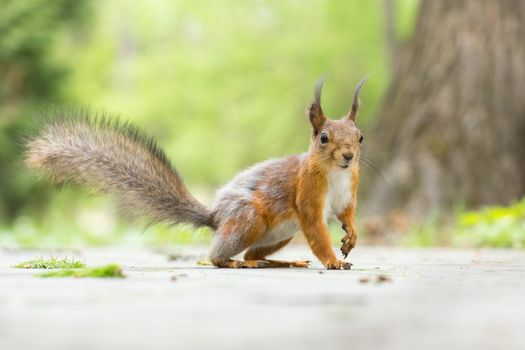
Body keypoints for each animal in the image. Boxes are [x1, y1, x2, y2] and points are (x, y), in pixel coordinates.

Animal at [25, 75, 368, 270]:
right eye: (323, 138)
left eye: (360, 136)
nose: (349, 156)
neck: (336, 173)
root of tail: (216, 217)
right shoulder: (307, 193)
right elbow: (317, 230)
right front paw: (333, 261)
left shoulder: (349, 190)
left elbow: (347, 214)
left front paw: (351, 237)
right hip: (250, 218)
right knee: (219, 256)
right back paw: (233, 262)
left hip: (280, 233)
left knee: (251, 253)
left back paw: (280, 261)